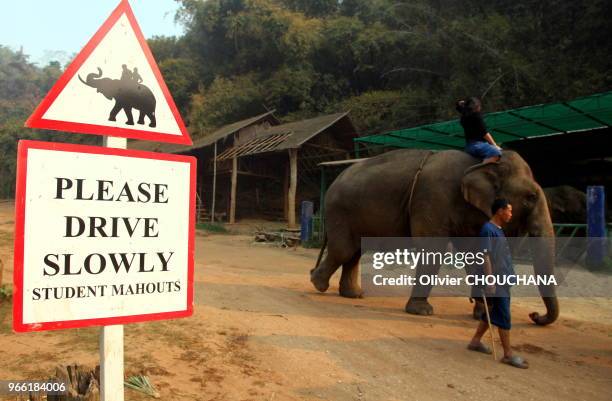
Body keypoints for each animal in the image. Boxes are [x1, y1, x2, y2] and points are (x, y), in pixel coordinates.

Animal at [310, 148, 560, 326]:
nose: (534, 315)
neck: (479, 163)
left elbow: (475, 254)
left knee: (354, 251)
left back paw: (352, 295)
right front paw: (422, 312)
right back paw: (318, 284)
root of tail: (333, 182)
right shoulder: (433, 197)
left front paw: (481, 314)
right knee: (344, 249)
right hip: (340, 211)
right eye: (530, 197)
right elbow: (433, 248)